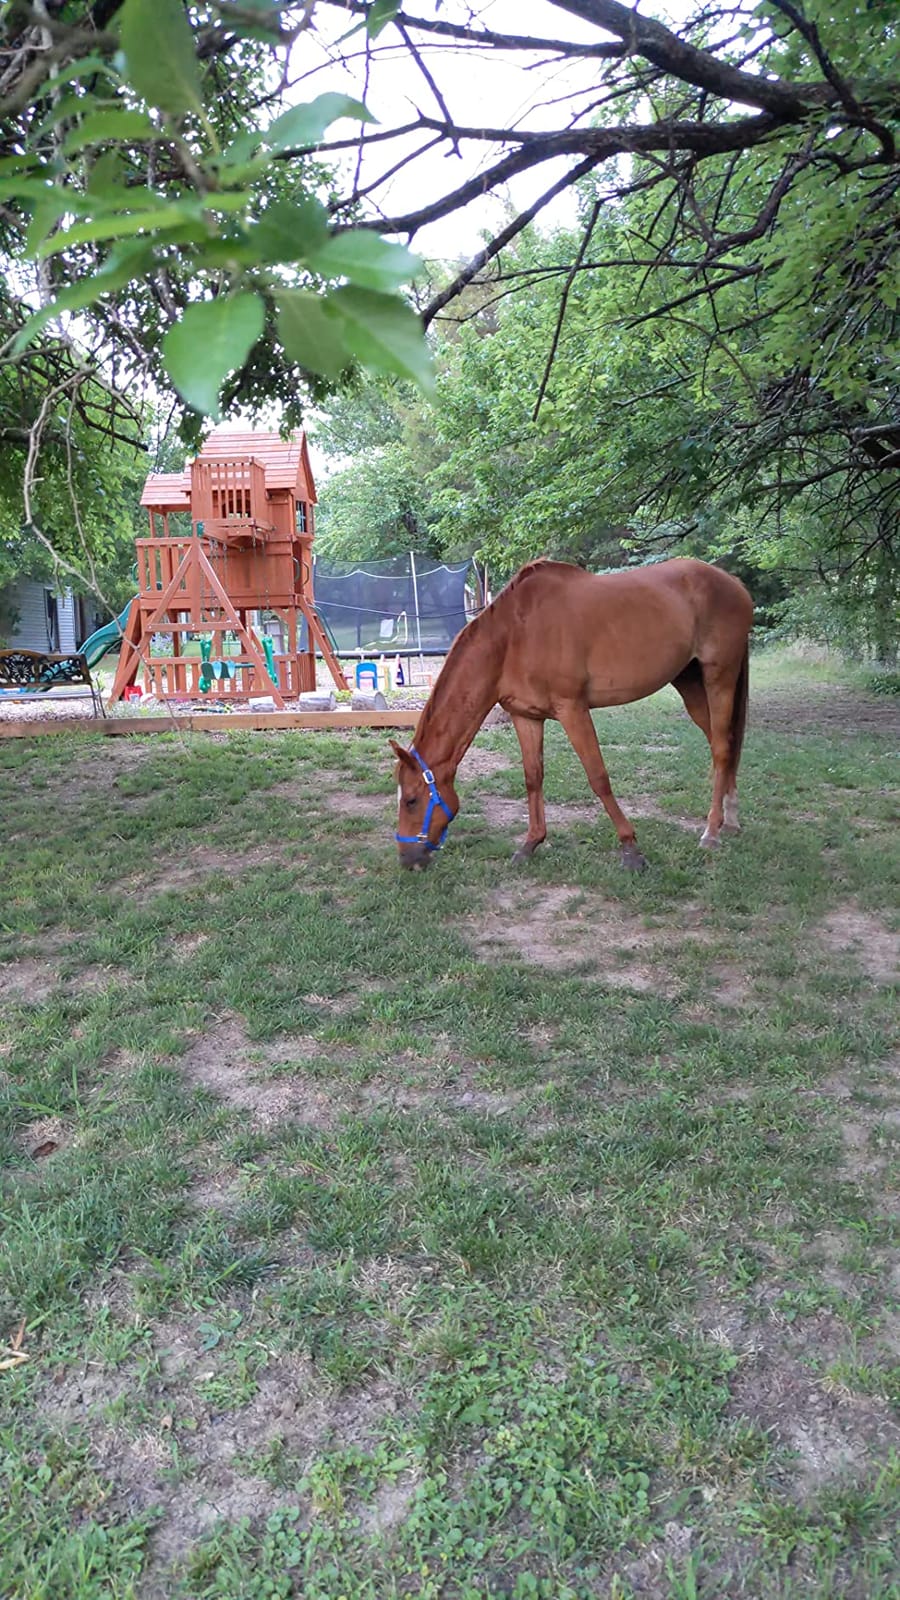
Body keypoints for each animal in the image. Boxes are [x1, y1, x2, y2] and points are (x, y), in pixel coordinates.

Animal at [391, 558, 753, 871]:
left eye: (411, 800)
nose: (407, 859)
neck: (514, 635)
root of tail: (733, 583)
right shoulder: (526, 717)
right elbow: (533, 778)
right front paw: (530, 844)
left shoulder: (573, 709)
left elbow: (598, 777)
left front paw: (631, 849)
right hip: (689, 683)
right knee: (722, 746)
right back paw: (730, 820)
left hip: (718, 677)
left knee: (722, 749)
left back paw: (712, 832)